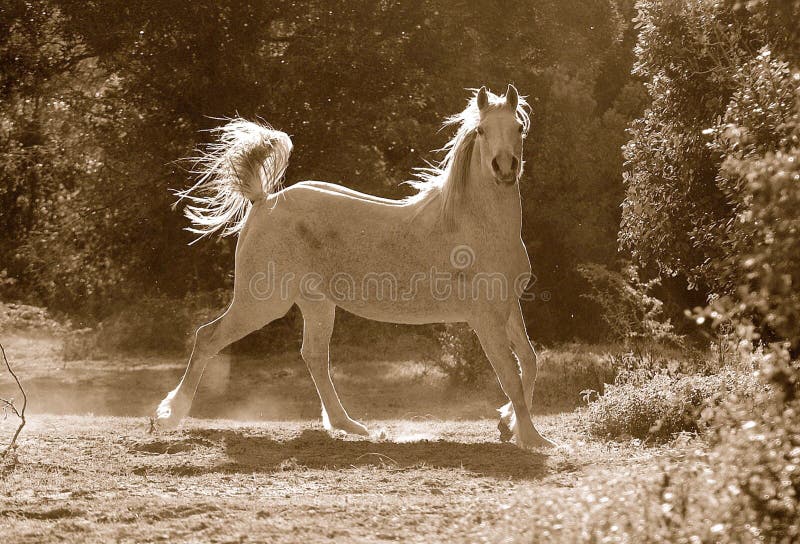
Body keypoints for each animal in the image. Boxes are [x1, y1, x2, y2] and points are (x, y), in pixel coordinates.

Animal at [156, 85, 556, 450]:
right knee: (208, 337)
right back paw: (168, 416)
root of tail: (263, 200)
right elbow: (510, 375)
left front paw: (508, 425)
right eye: (483, 131)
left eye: (519, 127)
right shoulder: (484, 318)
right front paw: (534, 438)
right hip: (262, 303)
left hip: (316, 304)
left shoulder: (507, 308)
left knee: (314, 356)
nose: (504, 168)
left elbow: (529, 361)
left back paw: (349, 425)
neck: (475, 223)